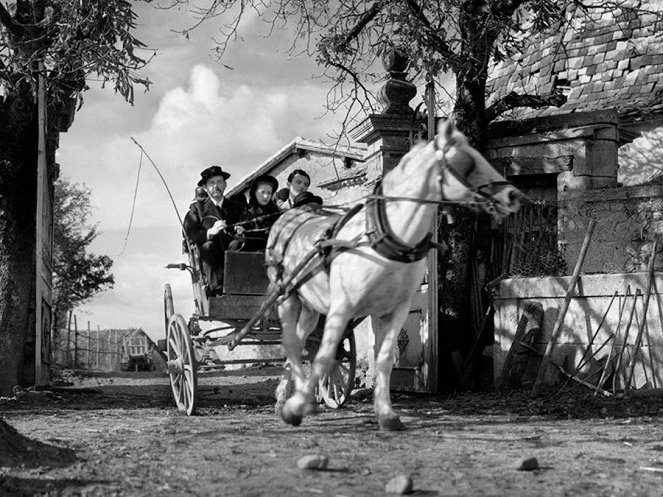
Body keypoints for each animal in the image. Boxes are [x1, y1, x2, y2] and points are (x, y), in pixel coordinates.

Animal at [264, 118, 520, 428]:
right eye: (466, 161)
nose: (512, 195)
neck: (385, 239)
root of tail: (290, 216)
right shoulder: (342, 308)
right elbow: (325, 357)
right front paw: (297, 406)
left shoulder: (395, 309)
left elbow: (385, 359)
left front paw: (386, 413)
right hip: (287, 298)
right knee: (291, 344)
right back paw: (290, 401)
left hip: (311, 307)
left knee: (299, 343)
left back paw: (292, 395)